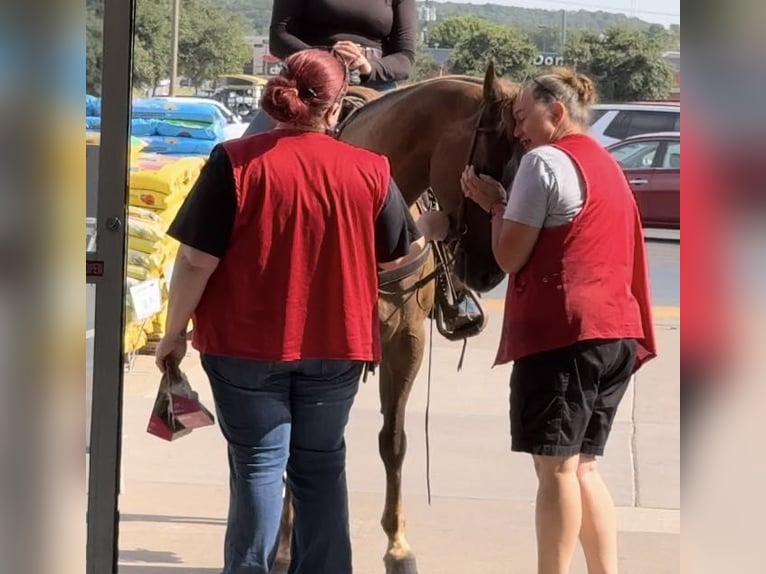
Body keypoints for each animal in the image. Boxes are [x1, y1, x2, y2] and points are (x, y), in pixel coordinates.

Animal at [274, 64, 520, 574]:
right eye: (490, 165)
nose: (489, 271)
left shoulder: (406, 341)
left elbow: (394, 440)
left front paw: (398, 546)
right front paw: (285, 548)